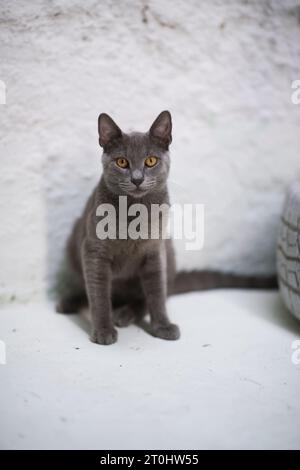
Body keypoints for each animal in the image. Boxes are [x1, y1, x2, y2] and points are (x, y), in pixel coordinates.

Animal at [56, 110, 276, 346]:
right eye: (122, 162)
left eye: (150, 161)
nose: (137, 178)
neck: (135, 212)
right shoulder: (94, 250)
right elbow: (98, 293)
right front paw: (104, 331)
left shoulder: (155, 250)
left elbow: (156, 292)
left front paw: (162, 326)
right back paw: (70, 302)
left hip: (168, 250)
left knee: (156, 293)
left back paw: (124, 313)